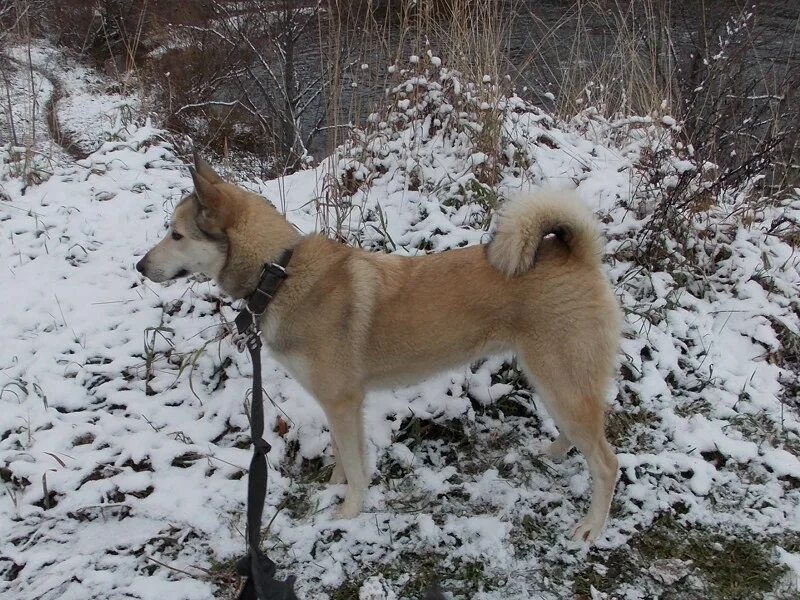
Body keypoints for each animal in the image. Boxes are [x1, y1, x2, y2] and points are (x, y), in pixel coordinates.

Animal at [136, 156, 624, 544]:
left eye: (176, 235)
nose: (140, 266)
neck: (278, 272)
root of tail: (574, 254)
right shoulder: (337, 403)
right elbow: (343, 454)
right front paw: (335, 487)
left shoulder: (342, 401)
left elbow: (355, 462)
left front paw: (348, 510)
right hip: (551, 379)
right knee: (577, 433)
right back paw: (553, 453)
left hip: (561, 381)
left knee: (607, 462)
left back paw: (592, 526)